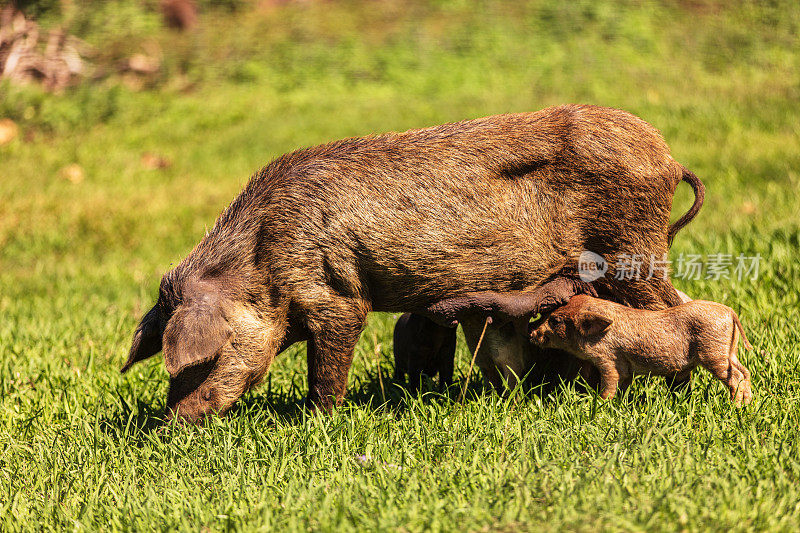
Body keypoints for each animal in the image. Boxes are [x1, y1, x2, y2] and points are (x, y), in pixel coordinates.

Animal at [122, 103, 704, 420]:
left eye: (202, 359)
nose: (173, 423)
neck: (263, 265)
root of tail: (669, 157)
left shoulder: (340, 296)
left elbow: (327, 366)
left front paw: (317, 423)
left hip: (632, 244)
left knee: (673, 306)